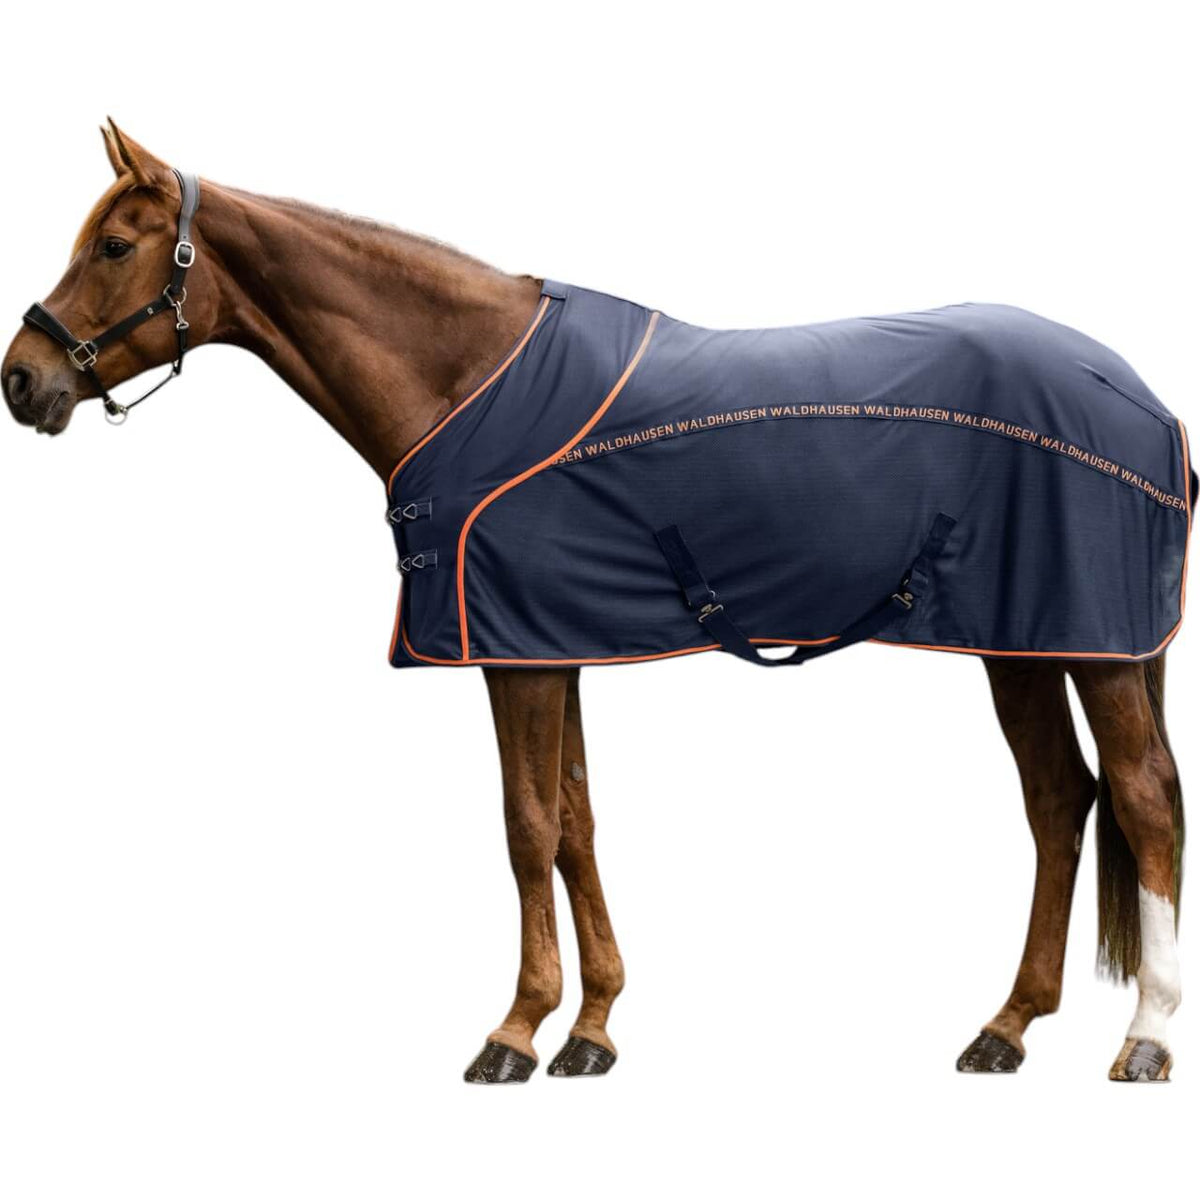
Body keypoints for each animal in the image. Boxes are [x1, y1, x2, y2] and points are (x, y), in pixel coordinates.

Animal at [2, 122, 1188, 1084]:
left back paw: (1147, 1038)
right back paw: (1007, 1028)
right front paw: (592, 1029)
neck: (468, 379)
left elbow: (527, 828)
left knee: (1143, 800)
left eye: (116, 247)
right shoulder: (551, 647)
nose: (21, 380)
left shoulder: (513, 656)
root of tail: (1141, 398)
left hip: (1099, 649)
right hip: (1021, 645)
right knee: (1060, 803)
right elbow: (574, 822)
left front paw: (514, 1032)